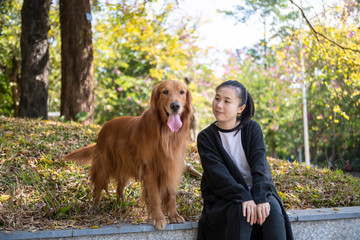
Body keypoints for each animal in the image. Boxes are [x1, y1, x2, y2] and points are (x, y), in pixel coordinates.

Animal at [64, 79, 194, 230]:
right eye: (165, 92)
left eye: (182, 92)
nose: (175, 106)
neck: (165, 134)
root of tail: (105, 125)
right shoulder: (150, 170)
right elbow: (155, 196)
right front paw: (159, 218)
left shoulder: (171, 167)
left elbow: (172, 195)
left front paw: (174, 215)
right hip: (104, 165)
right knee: (97, 188)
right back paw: (95, 208)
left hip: (126, 166)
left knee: (119, 188)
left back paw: (121, 204)